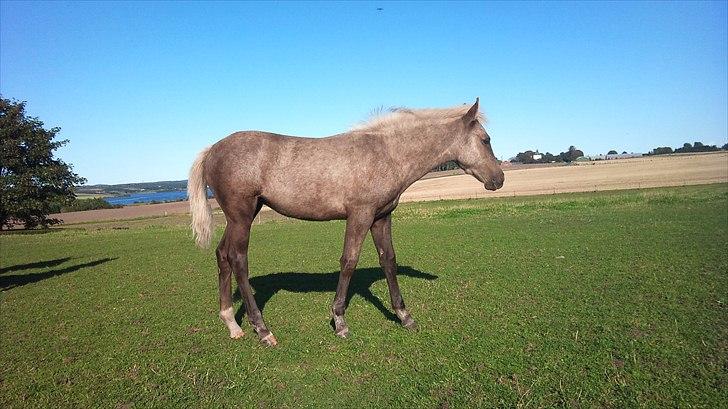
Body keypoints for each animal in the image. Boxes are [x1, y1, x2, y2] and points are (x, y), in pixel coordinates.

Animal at [188, 98, 504, 344]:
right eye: (486, 139)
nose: (499, 179)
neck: (385, 153)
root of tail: (211, 150)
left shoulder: (381, 217)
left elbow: (388, 260)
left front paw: (405, 316)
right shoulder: (360, 216)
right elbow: (349, 261)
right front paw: (339, 321)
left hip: (241, 216)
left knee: (222, 255)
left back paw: (232, 323)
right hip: (241, 216)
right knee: (238, 259)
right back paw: (262, 329)